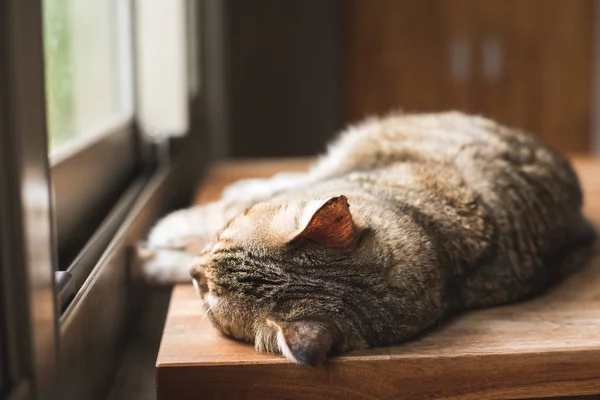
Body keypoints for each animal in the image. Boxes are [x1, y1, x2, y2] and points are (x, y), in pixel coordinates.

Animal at [137, 111, 596, 366]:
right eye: (223, 236)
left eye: (206, 295)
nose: (196, 268)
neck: (442, 249)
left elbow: (187, 229)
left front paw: (153, 256)